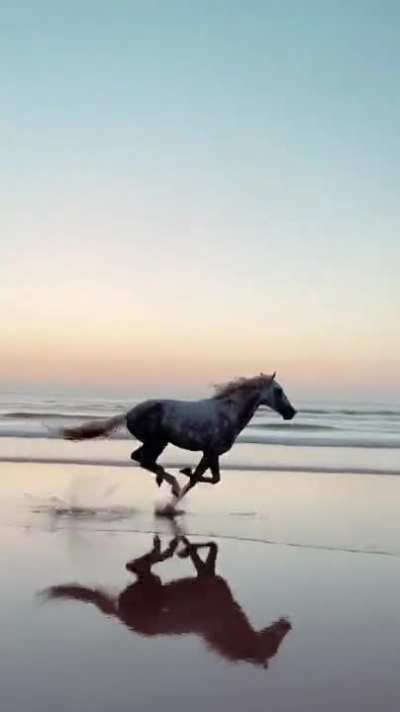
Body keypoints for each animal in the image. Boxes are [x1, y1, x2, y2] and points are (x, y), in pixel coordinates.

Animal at [41, 533, 292, 668]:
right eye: (272, 645)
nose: (288, 624)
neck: (223, 619)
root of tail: (120, 614)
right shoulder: (206, 576)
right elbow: (209, 545)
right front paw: (184, 547)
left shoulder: (207, 574)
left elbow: (210, 546)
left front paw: (185, 547)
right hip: (153, 584)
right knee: (135, 565)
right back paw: (165, 548)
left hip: (152, 583)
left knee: (136, 566)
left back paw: (163, 548)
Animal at [61, 372, 296, 501]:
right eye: (279, 391)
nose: (291, 412)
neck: (227, 413)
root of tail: (128, 414)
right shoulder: (210, 452)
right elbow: (201, 479)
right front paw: (180, 483)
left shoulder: (211, 454)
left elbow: (209, 479)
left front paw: (179, 489)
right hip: (157, 441)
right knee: (142, 458)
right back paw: (170, 482)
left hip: (158, 442)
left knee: (142, 459)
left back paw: (165, 480)